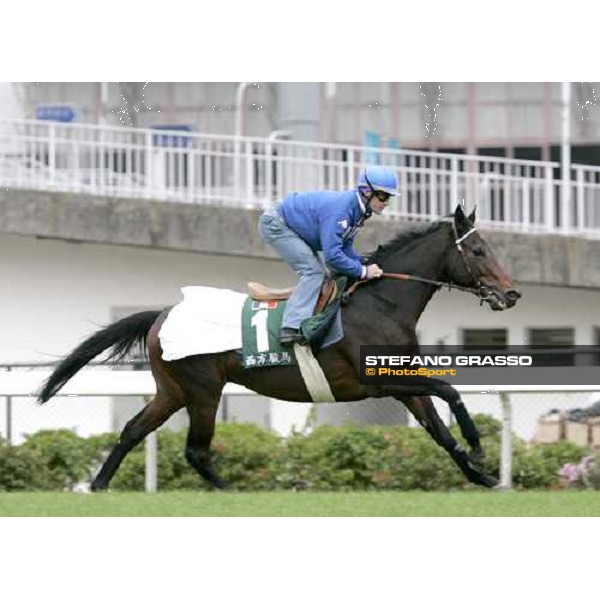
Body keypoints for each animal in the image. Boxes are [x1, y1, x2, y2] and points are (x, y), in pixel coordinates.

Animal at [38, 206, 520, 492]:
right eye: (479, 250)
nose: (512, 294)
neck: (380, 302)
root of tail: (162, 314)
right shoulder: (375, 382)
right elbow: (449, 392)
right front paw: (478, 449)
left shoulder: (401, 379)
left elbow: (439, 429)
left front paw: (481, 474)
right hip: (203, 390)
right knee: (196, 450)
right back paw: (230, 492)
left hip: (172, 391)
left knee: (132, 431)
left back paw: (99, 486)